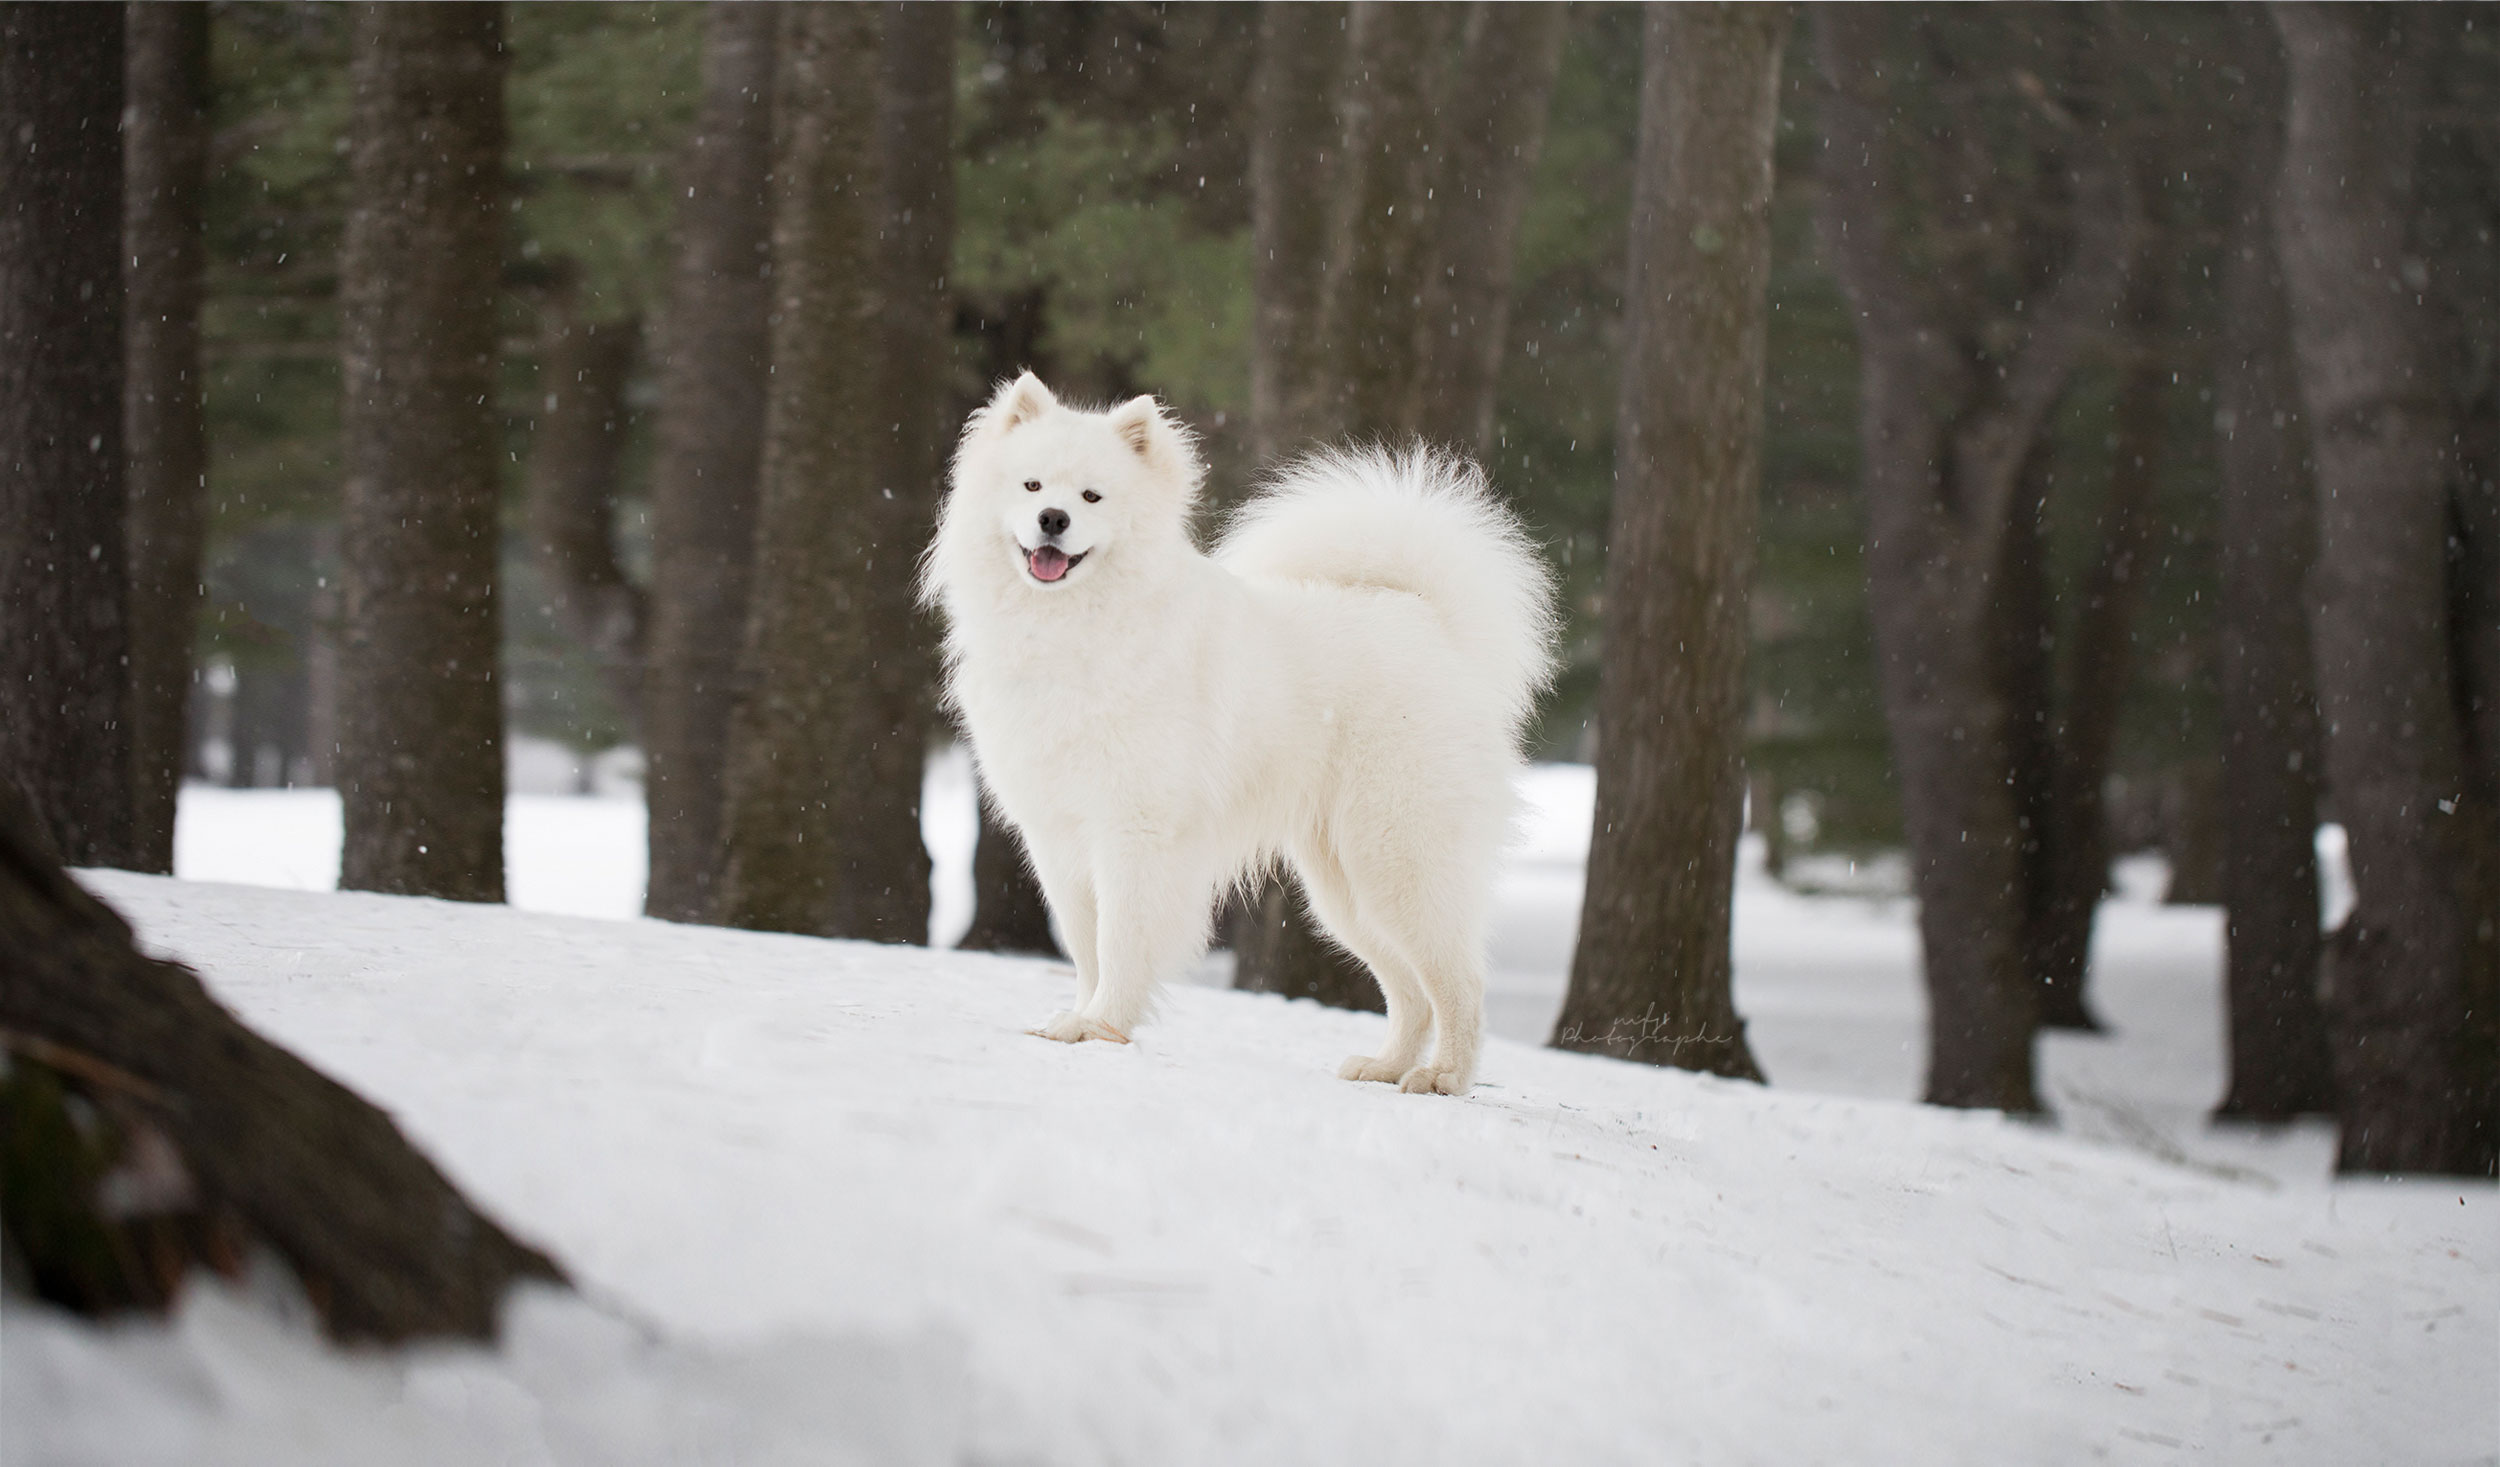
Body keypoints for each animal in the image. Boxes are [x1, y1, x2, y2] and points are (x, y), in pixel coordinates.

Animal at [930, 372, 1550, 1094]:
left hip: (1398, 859)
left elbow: (1120, 941)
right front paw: (1078, 1019)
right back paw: (1383, 1065)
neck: (1072, 626)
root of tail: (1425, 621)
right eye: (1031, 486)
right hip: (1344, 887)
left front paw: (1103, 1025)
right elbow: (1085, 946)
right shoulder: (1059, 838)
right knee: (1410, 990)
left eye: (1091, 496)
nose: (1052, 519)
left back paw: (1443, 1077)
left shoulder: (1136, 833)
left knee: (1459, 983)